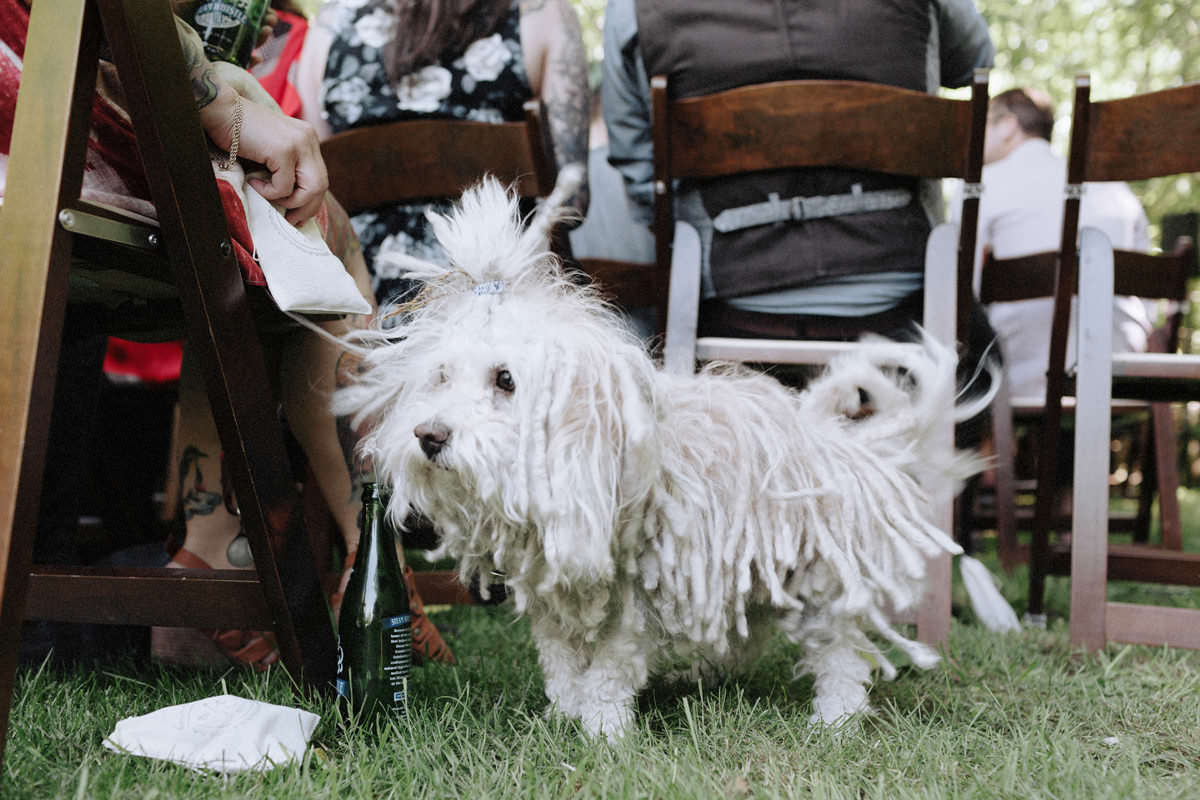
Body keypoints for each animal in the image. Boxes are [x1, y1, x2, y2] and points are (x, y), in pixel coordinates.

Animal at [333, 173, 1008, 738]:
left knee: (839, 651)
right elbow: (561, 661)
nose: (430, 435)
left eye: (505, 380)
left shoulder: (629, 601)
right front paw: (566, 712)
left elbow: (608, 668)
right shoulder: (551, 595)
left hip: (818, 576)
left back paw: (835, 718)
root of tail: (845, 441)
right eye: (441, 376)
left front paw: (602, 730)